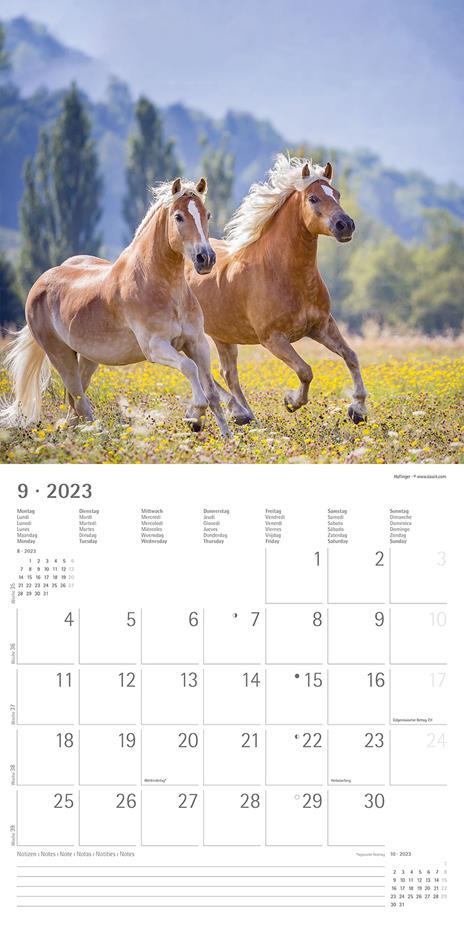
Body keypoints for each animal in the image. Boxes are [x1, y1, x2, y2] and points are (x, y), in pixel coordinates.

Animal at [0, 177, 232, 437]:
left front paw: (227, 436)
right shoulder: (155, 347)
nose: (206, 258)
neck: (160, 286)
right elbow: (189, 368)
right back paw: (97, 435)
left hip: (87, 359)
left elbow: (211, 391)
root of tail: (38, 286)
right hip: (60, 355)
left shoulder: (197, 343)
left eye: (207, 214)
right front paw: (194, 416)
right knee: (80, 402)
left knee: (73, 405)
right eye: (179, 216)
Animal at [186, 155, 368, 425]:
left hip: (222, 335)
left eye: (337, 194)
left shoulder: (321, 326)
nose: (345, 225)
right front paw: (291, 401)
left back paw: (245, 414)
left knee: (226, 372)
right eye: (313, 198)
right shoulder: (273, 338)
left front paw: (358, 409)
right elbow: (305, 370)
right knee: (200, 370)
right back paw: (238, 412)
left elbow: (351, 356)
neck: (282, 273)